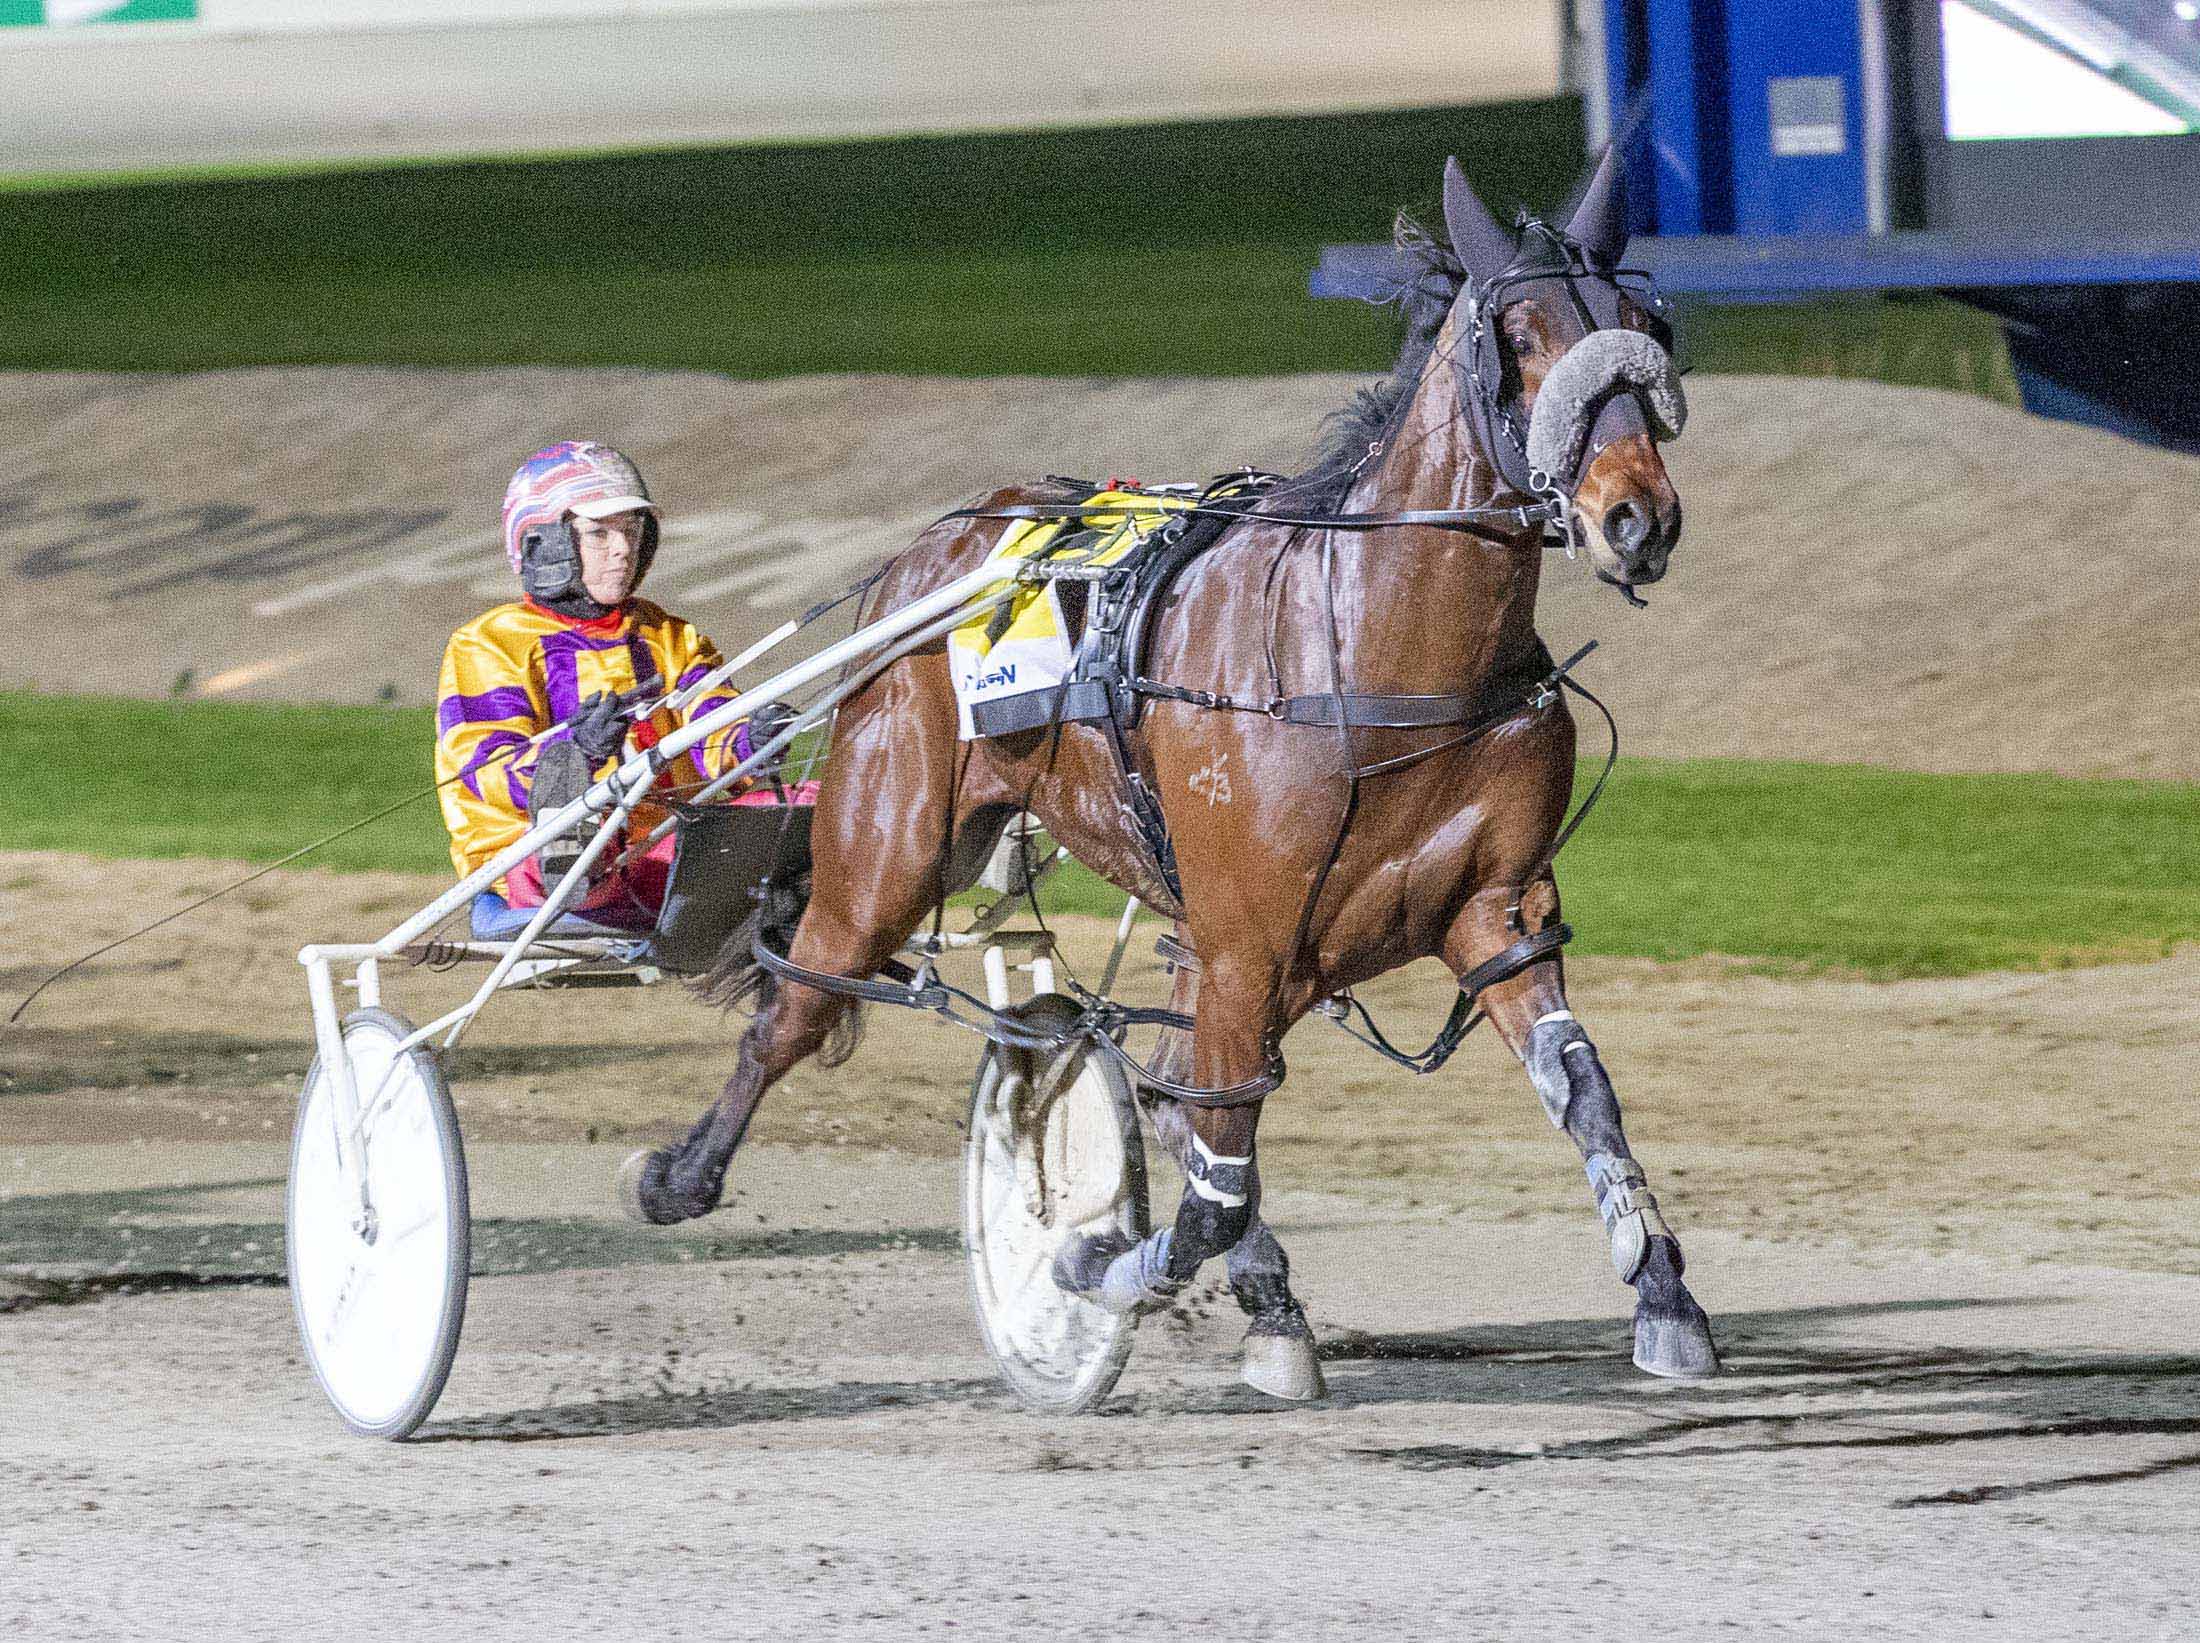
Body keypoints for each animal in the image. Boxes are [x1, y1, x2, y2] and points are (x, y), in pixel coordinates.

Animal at [620, 150, 1716, 1390]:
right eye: (1521, 336)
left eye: (1644, 326)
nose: (1635, 516)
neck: (1374, 649)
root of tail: (936, 547)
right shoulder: (1246, 940)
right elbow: (1206, 1177)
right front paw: (1092, 1259)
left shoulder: (1492, 911)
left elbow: (1579, 1087)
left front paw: (1663, 1293)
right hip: (888, 846)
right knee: (796, 1006)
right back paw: (680, 1173)